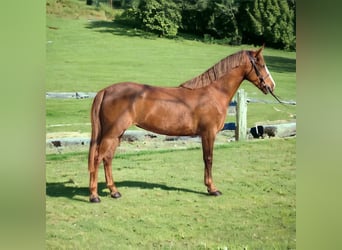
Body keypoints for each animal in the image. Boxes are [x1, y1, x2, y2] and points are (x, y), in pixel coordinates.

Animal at [87, 47, 276, 203]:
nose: (271, 86)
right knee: (97, 158)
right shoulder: (209, 133)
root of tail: (105, 91)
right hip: (112, 133)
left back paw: (114, 191)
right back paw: (94, 196)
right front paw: (212, 189)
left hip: (116, 134)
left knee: (107, 158)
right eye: (262, 64)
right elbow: (208, 159)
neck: (213, 92)